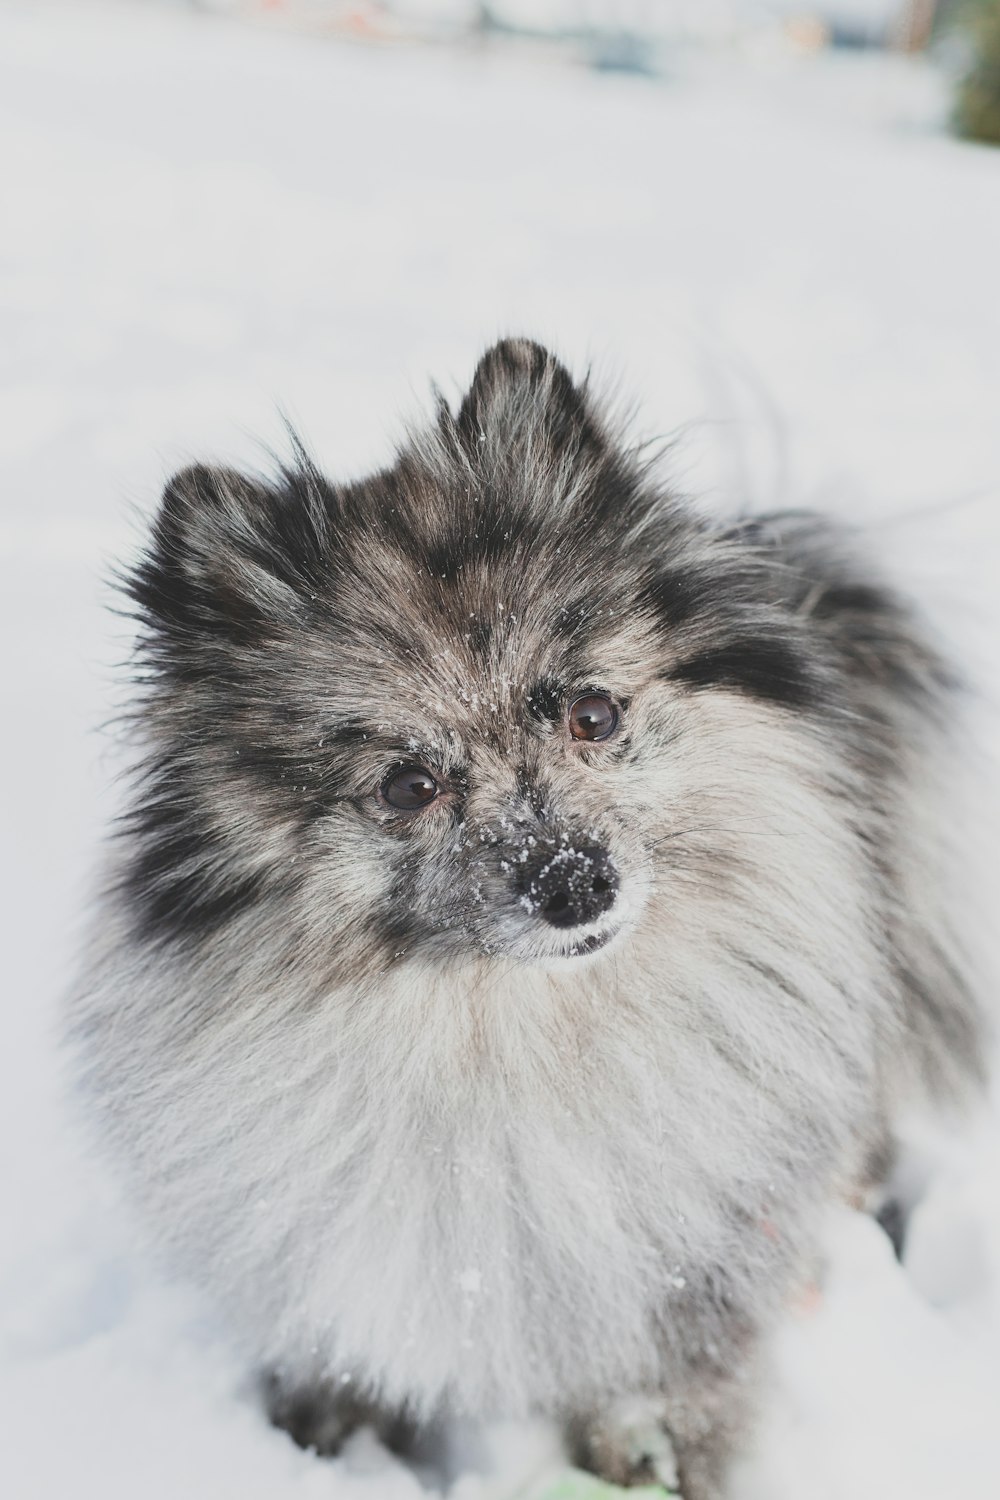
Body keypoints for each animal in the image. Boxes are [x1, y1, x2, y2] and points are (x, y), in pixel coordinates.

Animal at [68, 340, 983, 1500]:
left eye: (592, 714)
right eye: (408, 785)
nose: (575, 883)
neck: (508, 1039)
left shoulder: (684, 1289)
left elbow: (664, 1408)